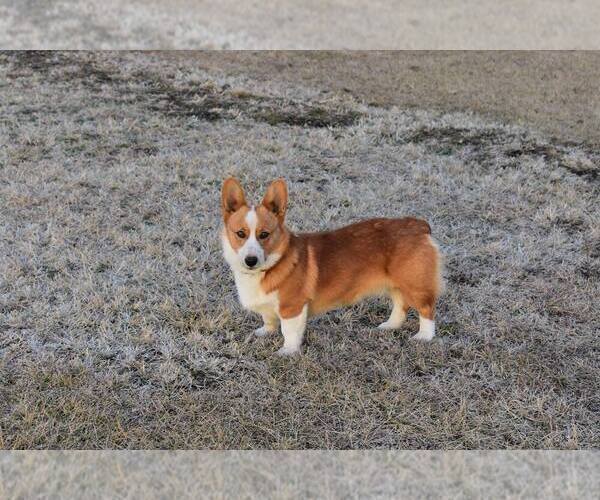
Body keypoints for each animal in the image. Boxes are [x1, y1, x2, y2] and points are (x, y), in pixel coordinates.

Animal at [220, 176, 440, 356]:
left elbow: (289, 331)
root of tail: (419, 225)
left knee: (426, 309)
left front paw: (287, 351)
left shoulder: (292, 307)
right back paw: (389, 326)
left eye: (264, 234)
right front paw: (265, 332)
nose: (250, 260)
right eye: (240, 233)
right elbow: (268, 319)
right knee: (401, 305)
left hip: (415, 284)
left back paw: (424, 337)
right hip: (396, 284)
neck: (269, 266)